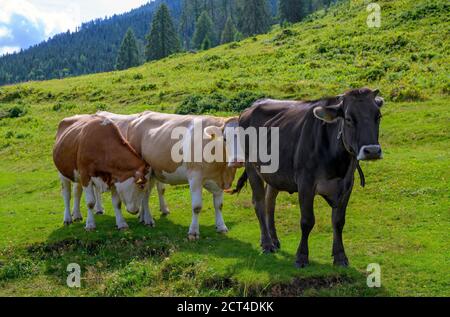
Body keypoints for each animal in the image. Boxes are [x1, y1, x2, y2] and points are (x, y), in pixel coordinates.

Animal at [98, 110, 243, 238]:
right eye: (225, 139)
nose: (238, 160)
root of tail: (140, 117)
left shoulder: (219, 181)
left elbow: (219, 205)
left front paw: (221, 227)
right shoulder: (195, 178)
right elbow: (197, 207)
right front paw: (193, 232)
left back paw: (143, 217)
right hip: (145, 173)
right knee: (145, 195)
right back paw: (148, 219)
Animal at [234, 87, 384, 266]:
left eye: (378, 116)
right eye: (348, 118)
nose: (372, 151)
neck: (337, 164)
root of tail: (251, 107)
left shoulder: (347, 185)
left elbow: (339, 222)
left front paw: (340, 256)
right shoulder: (305, 184)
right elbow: (307, 221)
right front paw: (301, 257)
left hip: (275, 174)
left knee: (270, 202)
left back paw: (274, 240)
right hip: (251, 166)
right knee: (259, 203)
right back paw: (267, 244)